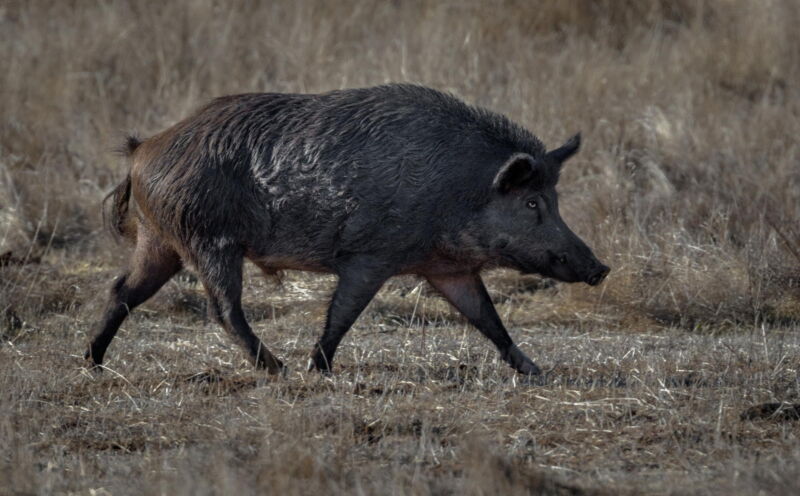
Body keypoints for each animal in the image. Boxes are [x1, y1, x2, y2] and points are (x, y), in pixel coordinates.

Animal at [86, 84, 609, 376]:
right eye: (533, 202)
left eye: (554, 199)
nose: (601, 268)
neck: (457, 192)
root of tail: (143, 150)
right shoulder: (370, 257)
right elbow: (342, 315)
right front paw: (318, 370)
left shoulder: (448, 269)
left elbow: (488, 319)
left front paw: (536, 371)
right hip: (209, 240)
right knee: (223, 309)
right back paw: (278, 370)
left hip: (160, 241)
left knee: (122, 291)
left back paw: (92, 363)